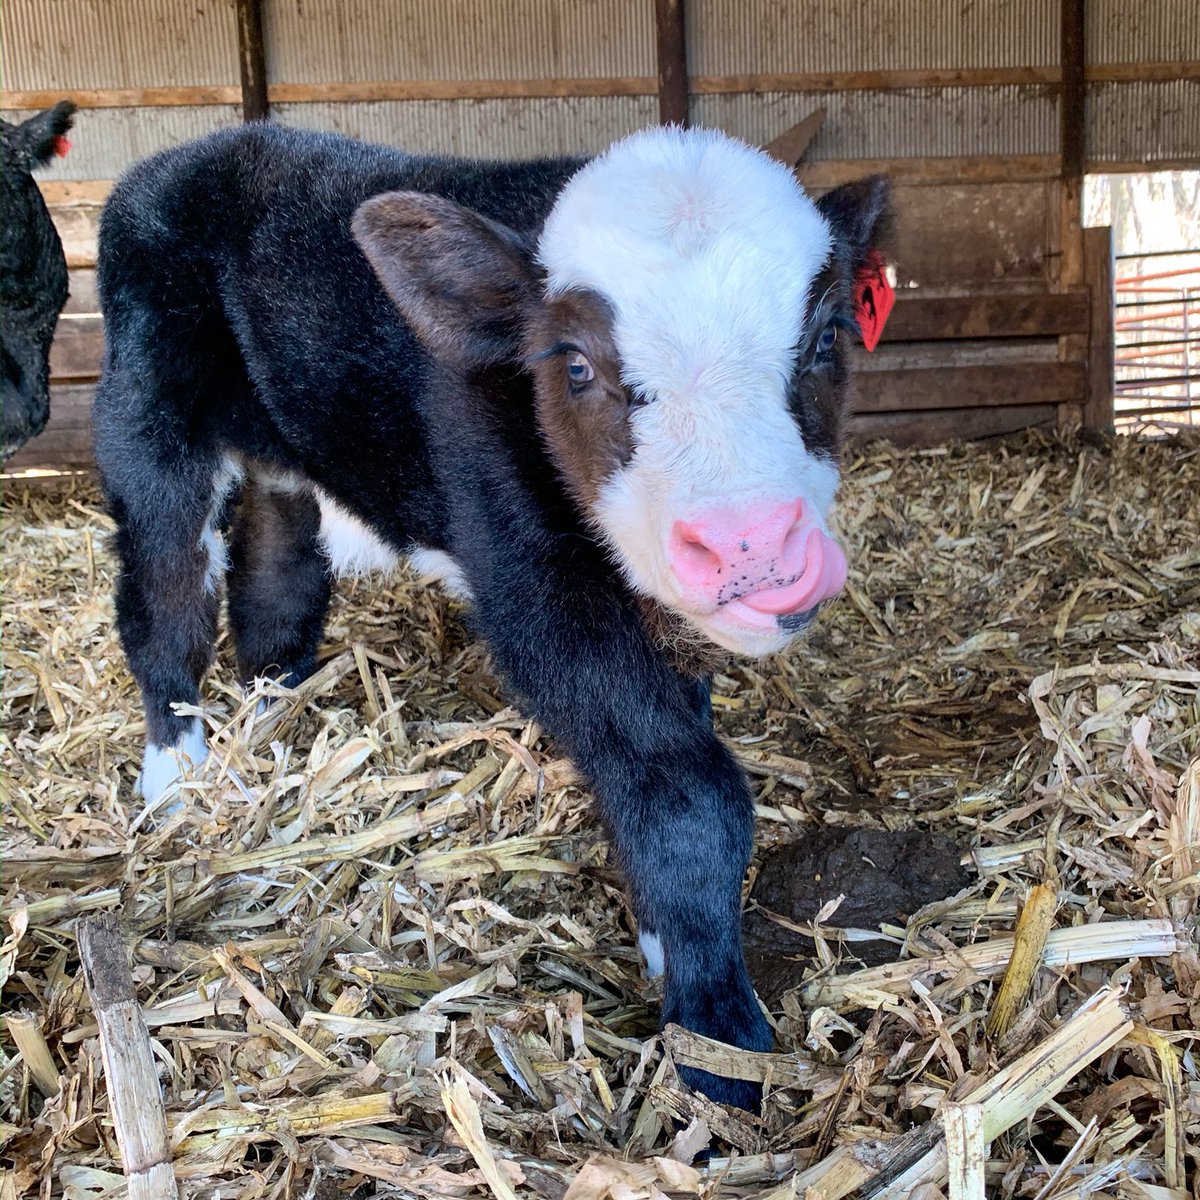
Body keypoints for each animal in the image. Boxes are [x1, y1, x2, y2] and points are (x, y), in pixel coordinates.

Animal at [93, 122, 890, 1109]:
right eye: (576, 365)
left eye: (823, 339)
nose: (753, 546)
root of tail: (205, 148)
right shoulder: (531, 585)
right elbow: (687, 792)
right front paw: (717, 1039)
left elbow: (661, 751)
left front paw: (666, 943)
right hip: (148, 421)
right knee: (164, 596)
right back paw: (177, 778)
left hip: (288, 450)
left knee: (276, 576)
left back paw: (274, 720)